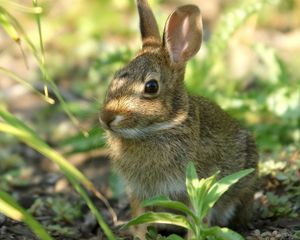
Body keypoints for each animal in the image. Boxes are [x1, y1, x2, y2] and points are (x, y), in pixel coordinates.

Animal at [99, 0, 258, 232]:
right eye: (115, 77)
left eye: (151, 87)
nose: (106, 117)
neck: (159, 128)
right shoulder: (138, 192)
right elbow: (140, 218)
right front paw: (138, 235)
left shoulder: (195, 184)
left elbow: (196, 219)